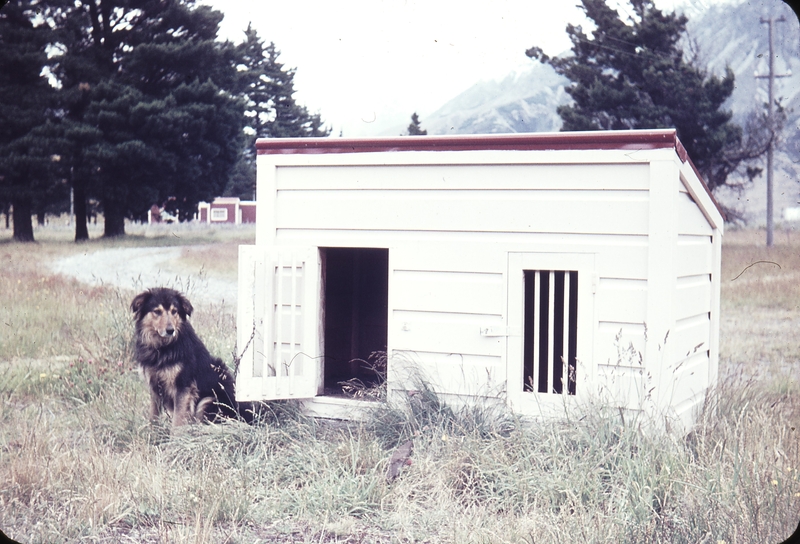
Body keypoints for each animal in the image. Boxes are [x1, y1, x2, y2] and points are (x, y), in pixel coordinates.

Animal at [131, 286, 250, 428]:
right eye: (157, 312)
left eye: (174, 311)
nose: (170, 330)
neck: (163, 347)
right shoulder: (155, 387)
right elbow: (153, 418)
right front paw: (152, 433)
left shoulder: (183, 388)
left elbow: (177, 422)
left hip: (208, 401)